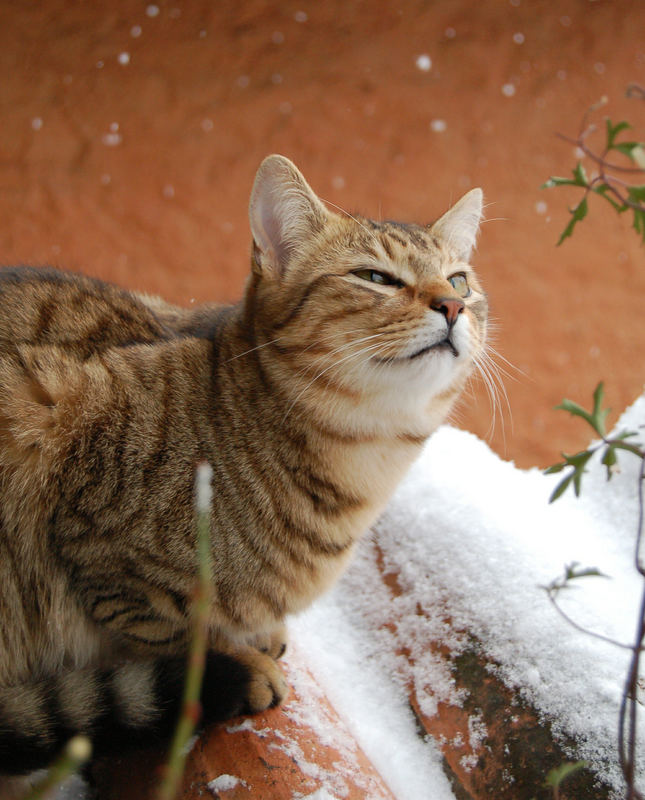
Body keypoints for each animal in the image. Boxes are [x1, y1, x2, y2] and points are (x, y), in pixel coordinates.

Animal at [0, 153, 488, 792]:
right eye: (376, 278)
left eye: (458, 281)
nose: (453, 307)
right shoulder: (89, 528)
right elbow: (175, 629)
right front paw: (234, 660)